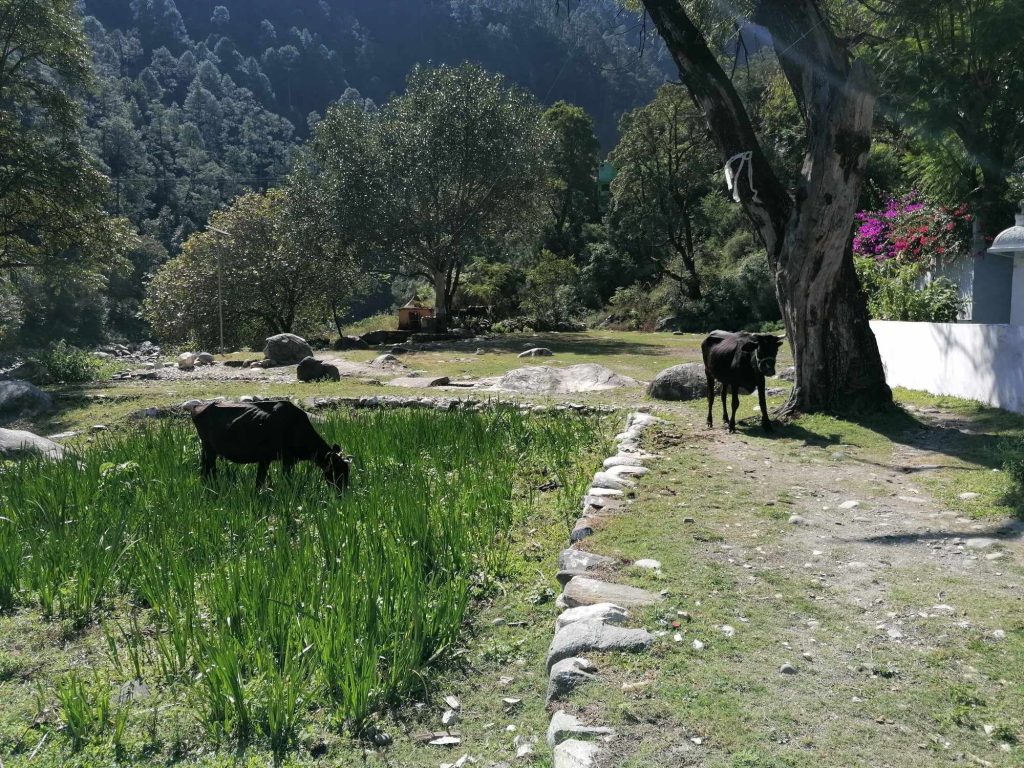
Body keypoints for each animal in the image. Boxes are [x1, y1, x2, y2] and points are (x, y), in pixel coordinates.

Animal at [190, 400, 351, 490]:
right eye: (338, 472)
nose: (342, 495)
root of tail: (198, 406)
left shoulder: (287, 460)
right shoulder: (272, 459)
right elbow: (264, 481)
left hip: (207, 450)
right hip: (209, 449)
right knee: (208, 471)